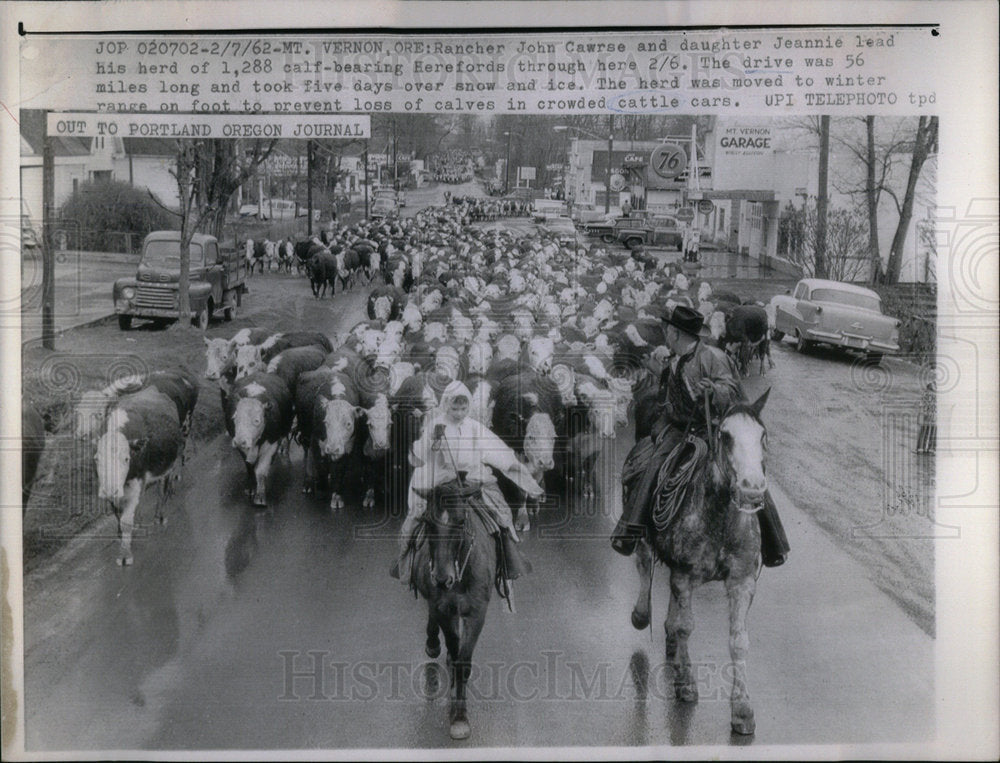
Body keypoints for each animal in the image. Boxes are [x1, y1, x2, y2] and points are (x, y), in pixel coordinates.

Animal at [410, 484, 496, 740]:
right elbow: (453, 643)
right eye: (428, 522)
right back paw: (434, 644)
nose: (441, 578)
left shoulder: (477, 613)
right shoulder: (443, 608)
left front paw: (459, 716)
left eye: (460, 521)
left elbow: (463, 662)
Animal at [628, 390, 768, 736]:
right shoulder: (685, 575)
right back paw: (642, 615)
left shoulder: (742, 581)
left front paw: (742, 711)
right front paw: (686, 684)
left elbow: (738, 641)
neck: (718, 516)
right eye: (726, 435)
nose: (751, 490)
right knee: (645, 566)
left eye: (762, 435)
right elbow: (685, 626)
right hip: (645, 541)